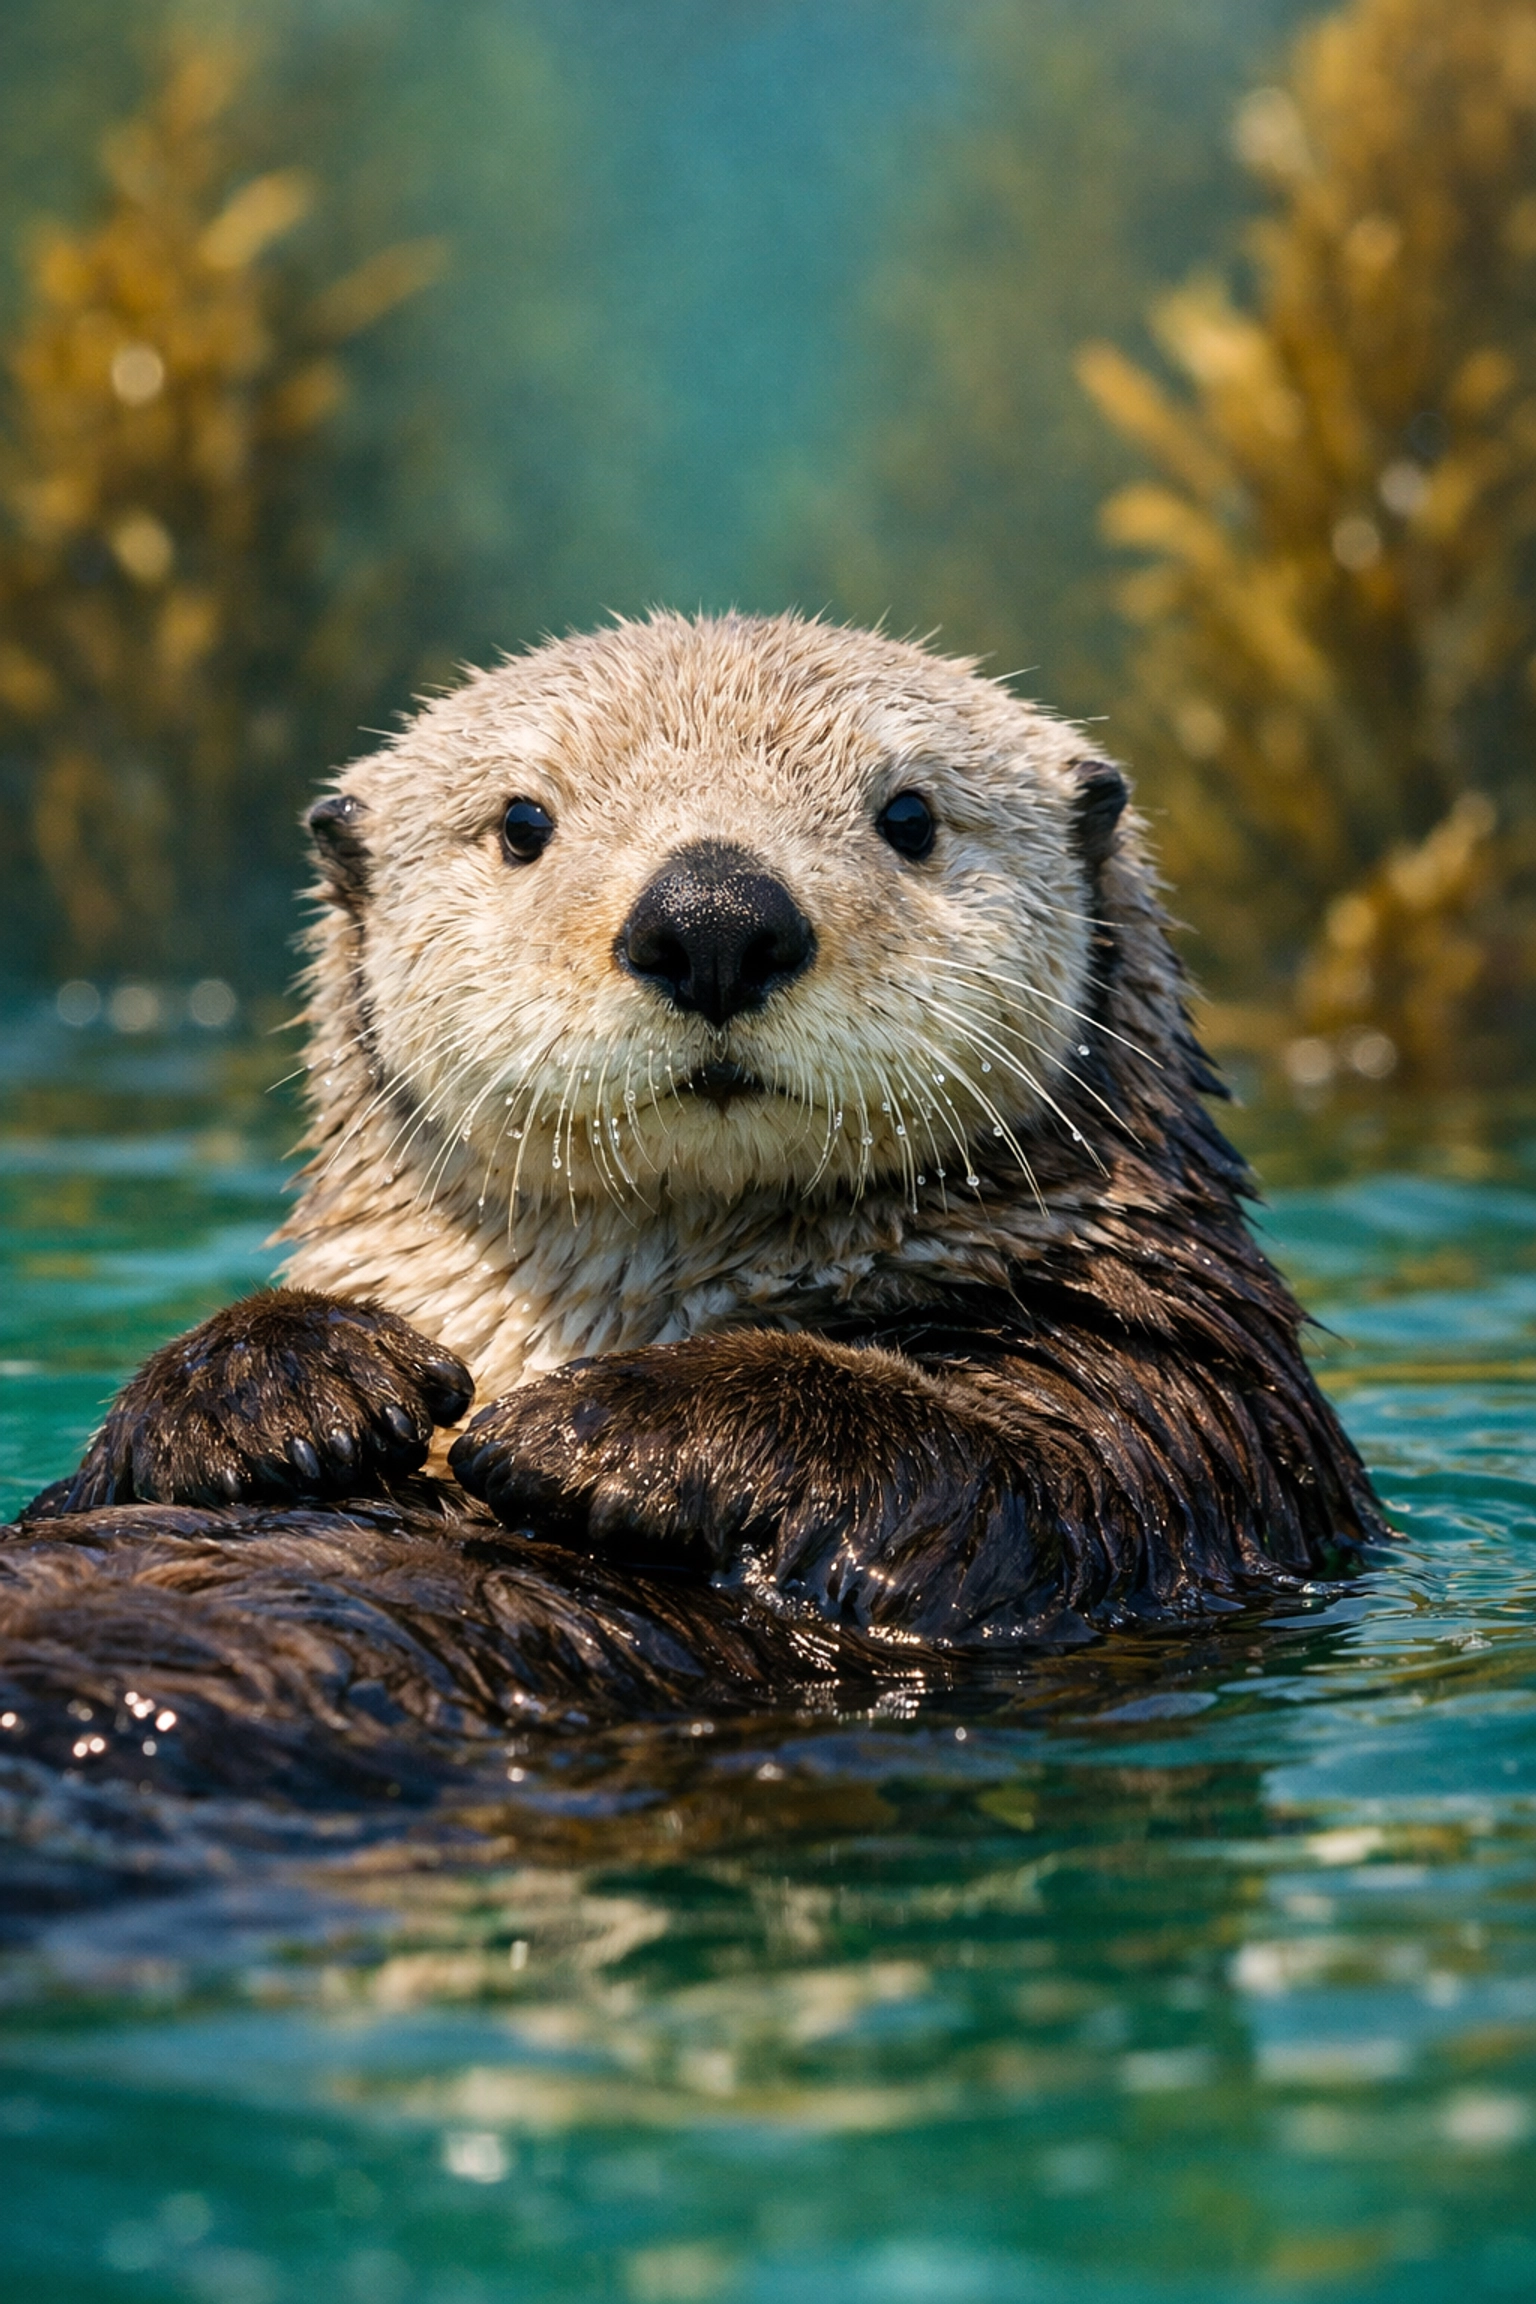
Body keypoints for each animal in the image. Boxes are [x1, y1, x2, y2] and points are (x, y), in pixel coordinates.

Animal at [2, 613, 1385, 1789]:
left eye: (910, 815)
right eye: (521, 822)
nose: (715, 916)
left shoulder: (1186, 1395)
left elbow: (1032, 1483)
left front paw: (603, 1428)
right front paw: (279, 1378)